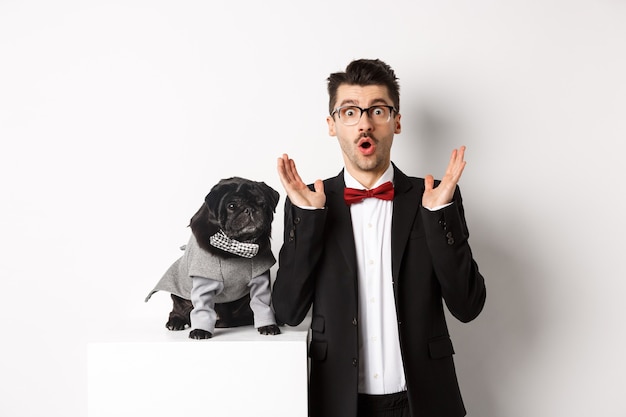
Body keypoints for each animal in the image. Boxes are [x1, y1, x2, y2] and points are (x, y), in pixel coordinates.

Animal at [144, 176, 280, 338]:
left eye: (262, 204)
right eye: (232, 206)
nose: (250, 209)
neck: (237, 247)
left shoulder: (260, 279)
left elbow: (261, 304)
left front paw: (268, 325)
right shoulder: (205, 281)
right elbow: (202, 308)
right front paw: (200, 330)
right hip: (180, 297)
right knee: (178, 310)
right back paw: (176, 322)